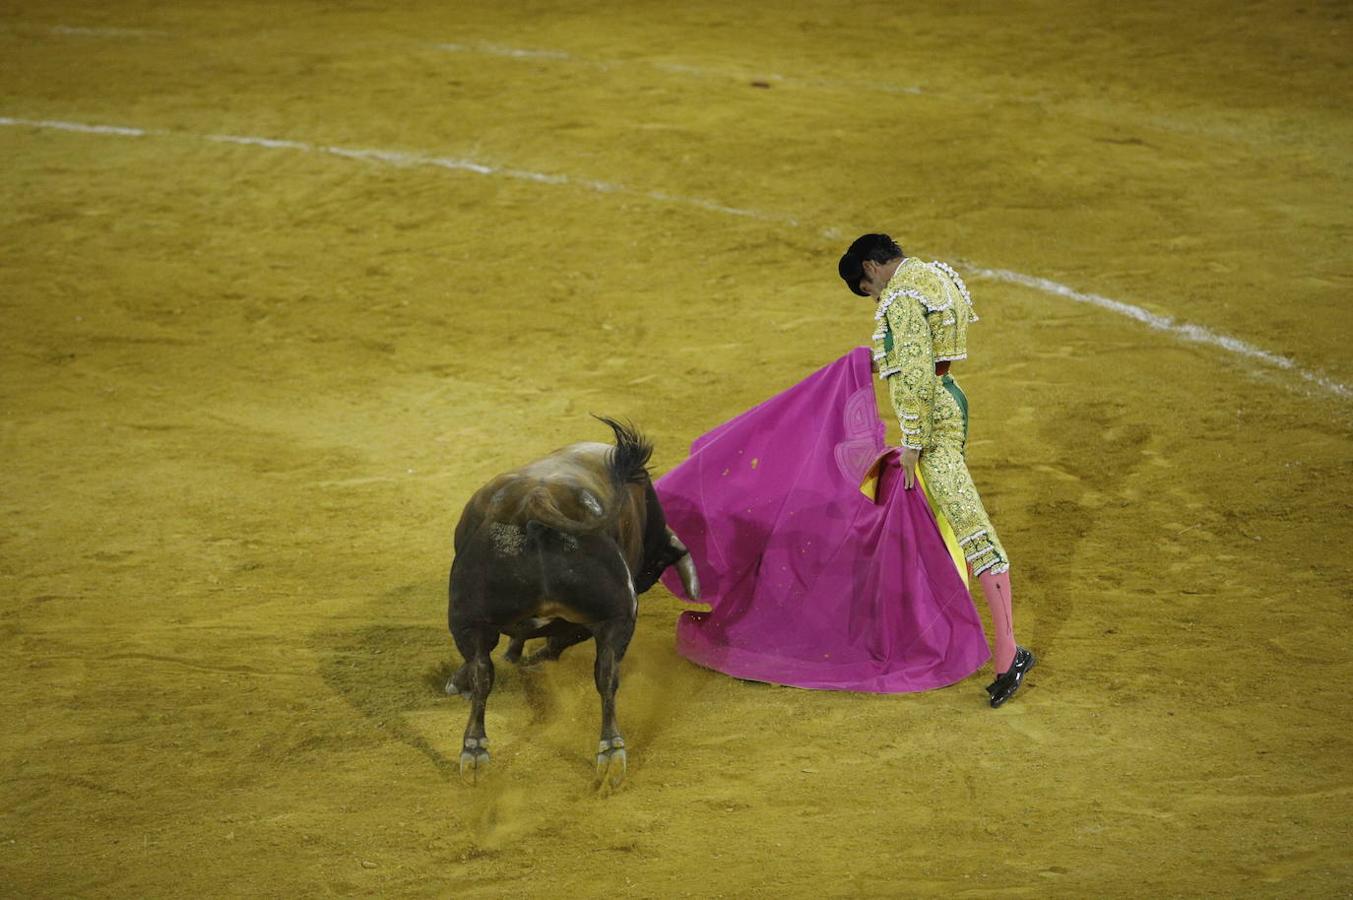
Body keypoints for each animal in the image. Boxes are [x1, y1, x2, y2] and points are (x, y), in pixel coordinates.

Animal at [446, 416, 698, 784]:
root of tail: (536, 500)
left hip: (469, 616)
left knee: (484, 672)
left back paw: (476, 750)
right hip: (616, 613)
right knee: (605, 675)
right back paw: (610, 752)